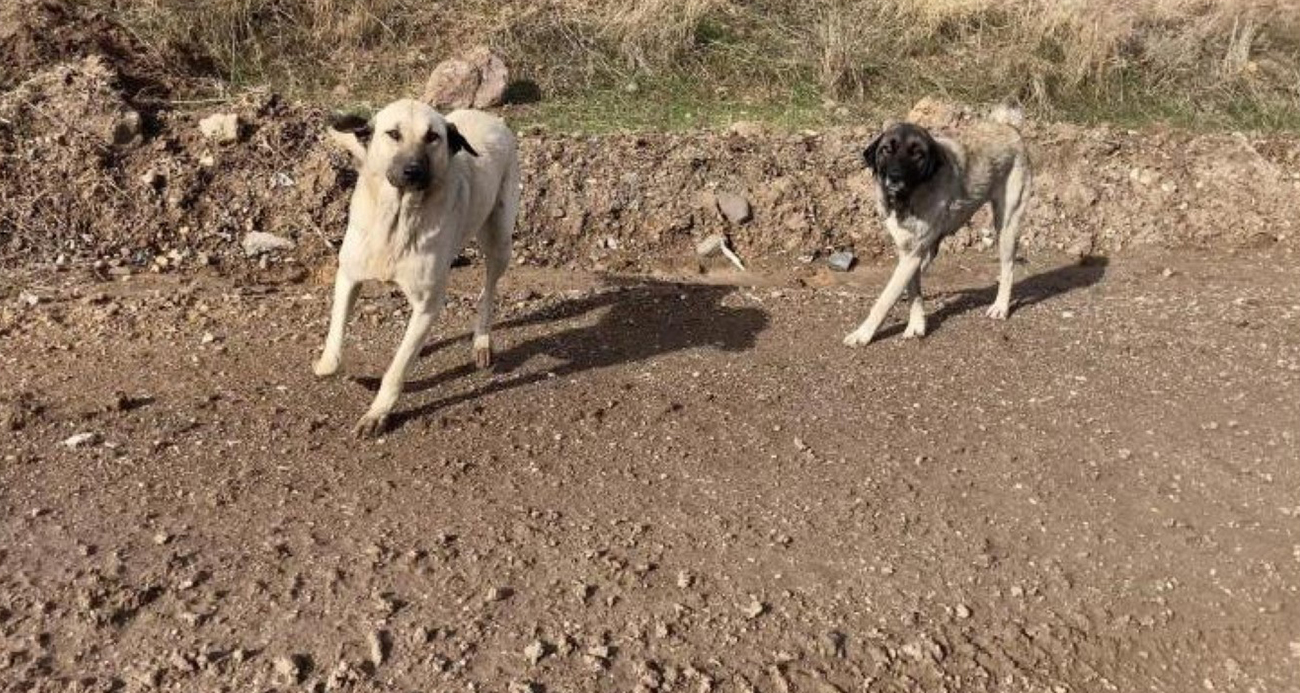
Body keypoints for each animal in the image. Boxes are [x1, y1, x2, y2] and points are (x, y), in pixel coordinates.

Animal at [313, 100, 517, 434]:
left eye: (432, 137)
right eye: (393, 134)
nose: (413, 171)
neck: (397, 219)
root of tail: (490, 117)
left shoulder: (426, 303)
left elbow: (397, 368)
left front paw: (378, 412)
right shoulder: (348, 277)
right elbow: (334, 343)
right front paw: (327, 366)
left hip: (500, 241)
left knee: (488, 291)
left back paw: (481, 341)